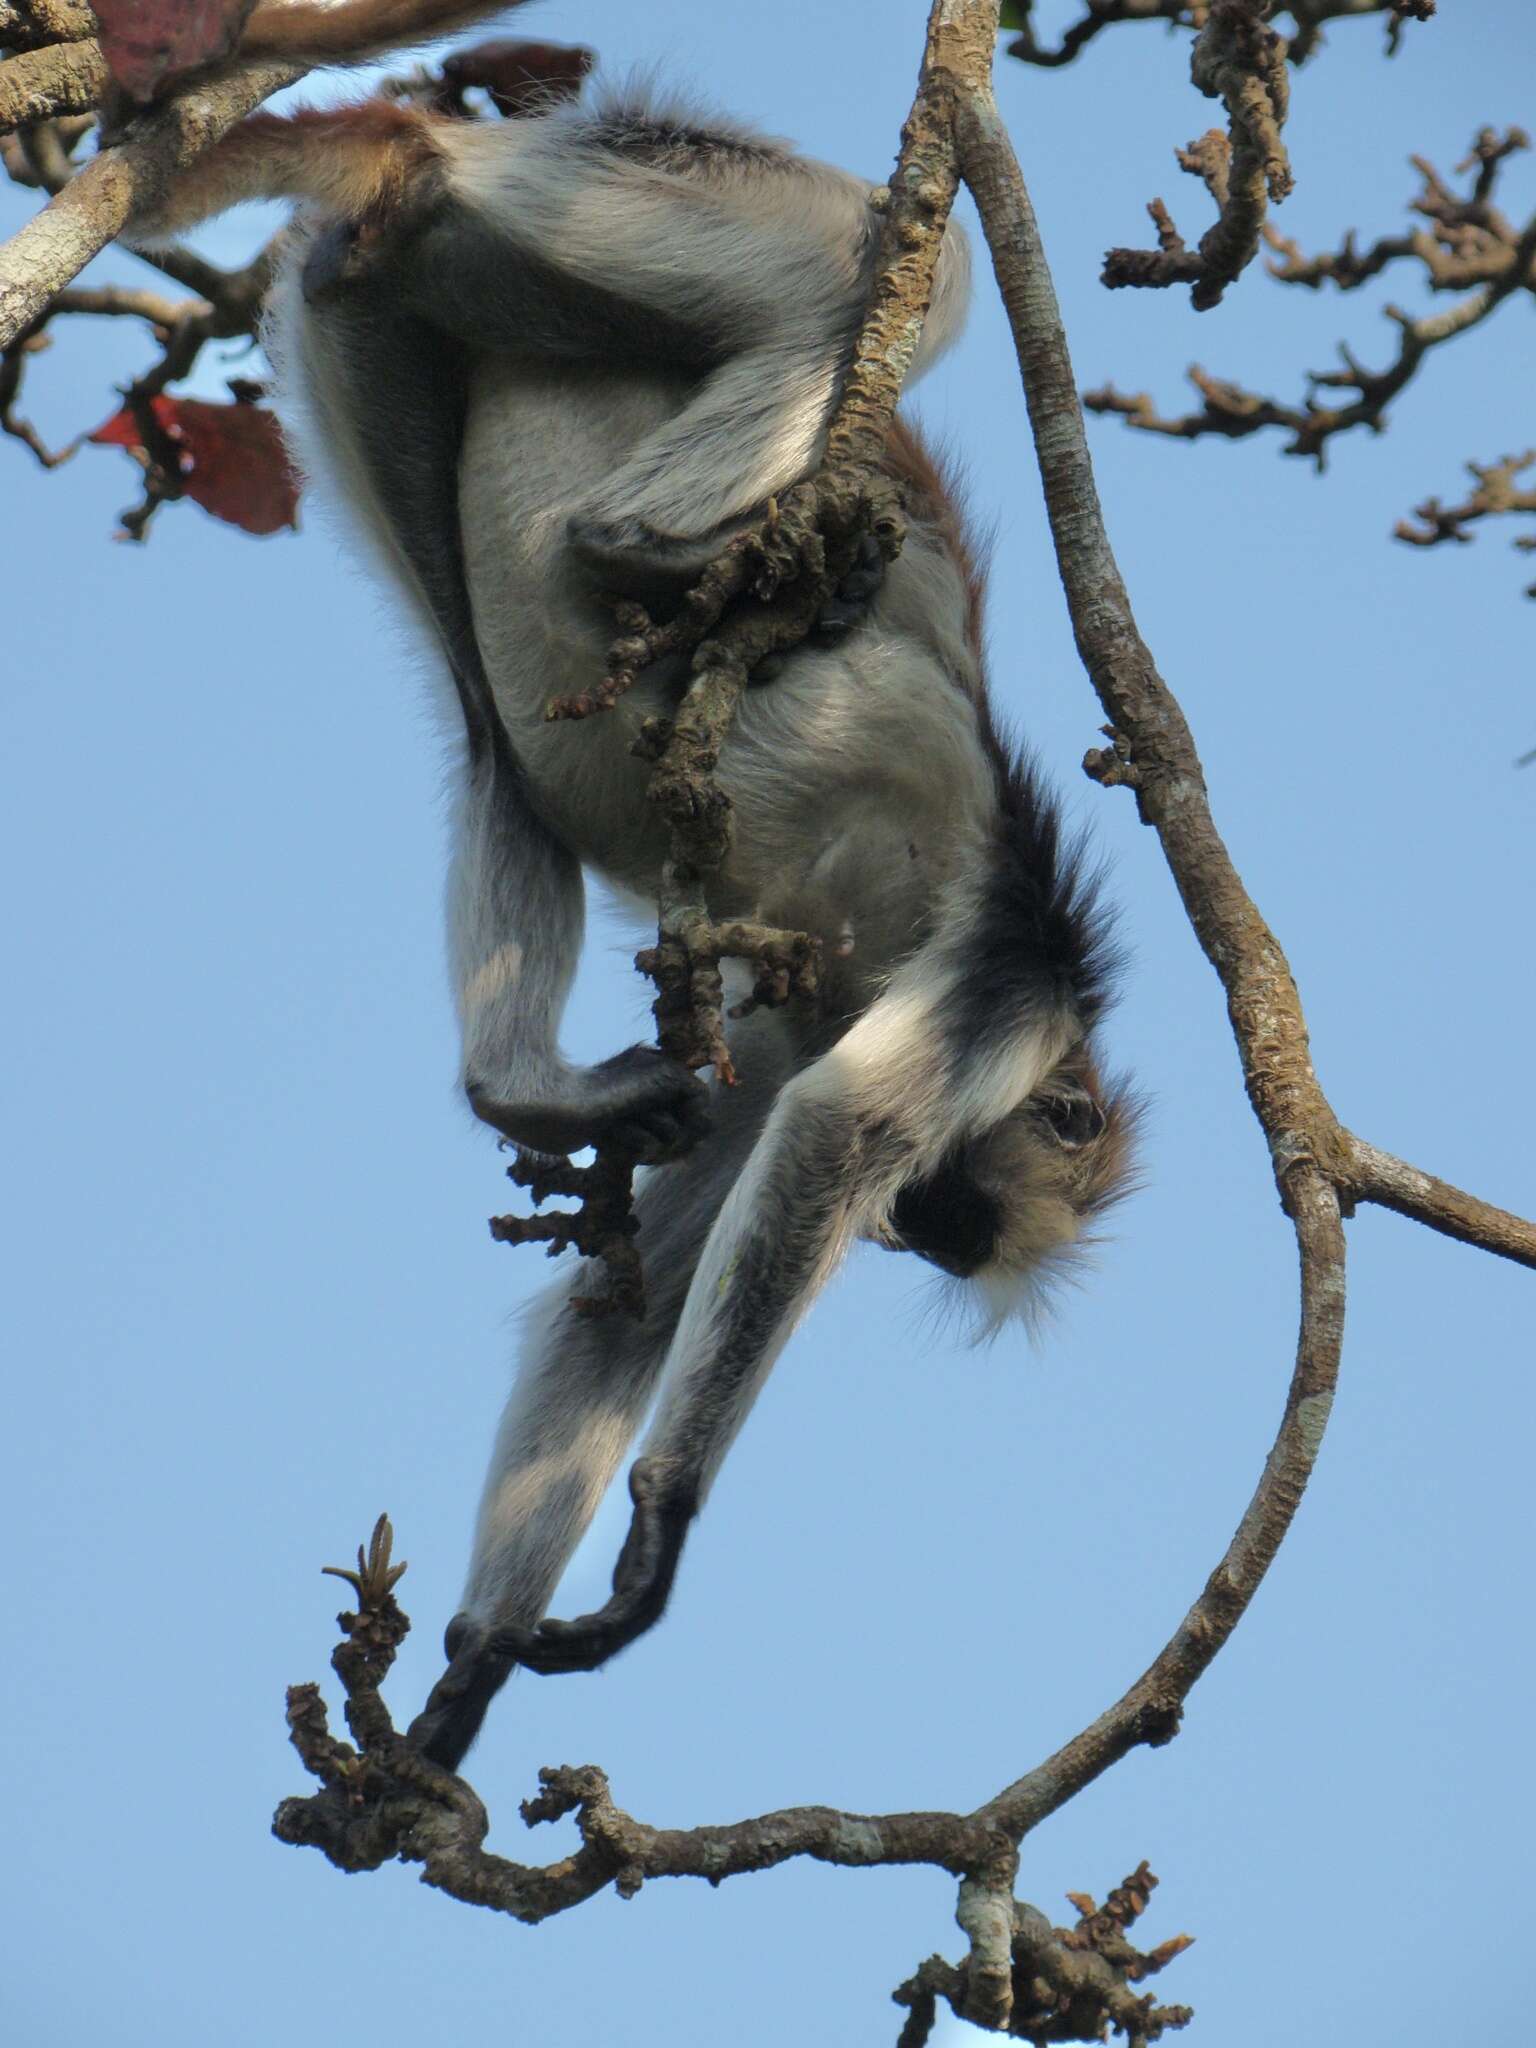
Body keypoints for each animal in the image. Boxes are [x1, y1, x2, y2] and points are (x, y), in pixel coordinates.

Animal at [132, 0, 1138, 1761]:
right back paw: (650, 550)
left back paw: (522, 1087)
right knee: (892, 265)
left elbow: (638, 1296)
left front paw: (464, 1681)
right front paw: (663, 1529)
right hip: (653, 191)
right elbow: (837, 1133)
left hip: (379, 330)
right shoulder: (1009, 970)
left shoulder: (775, 1036)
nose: (907, 1240)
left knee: (484, 741)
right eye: (943, 1214)